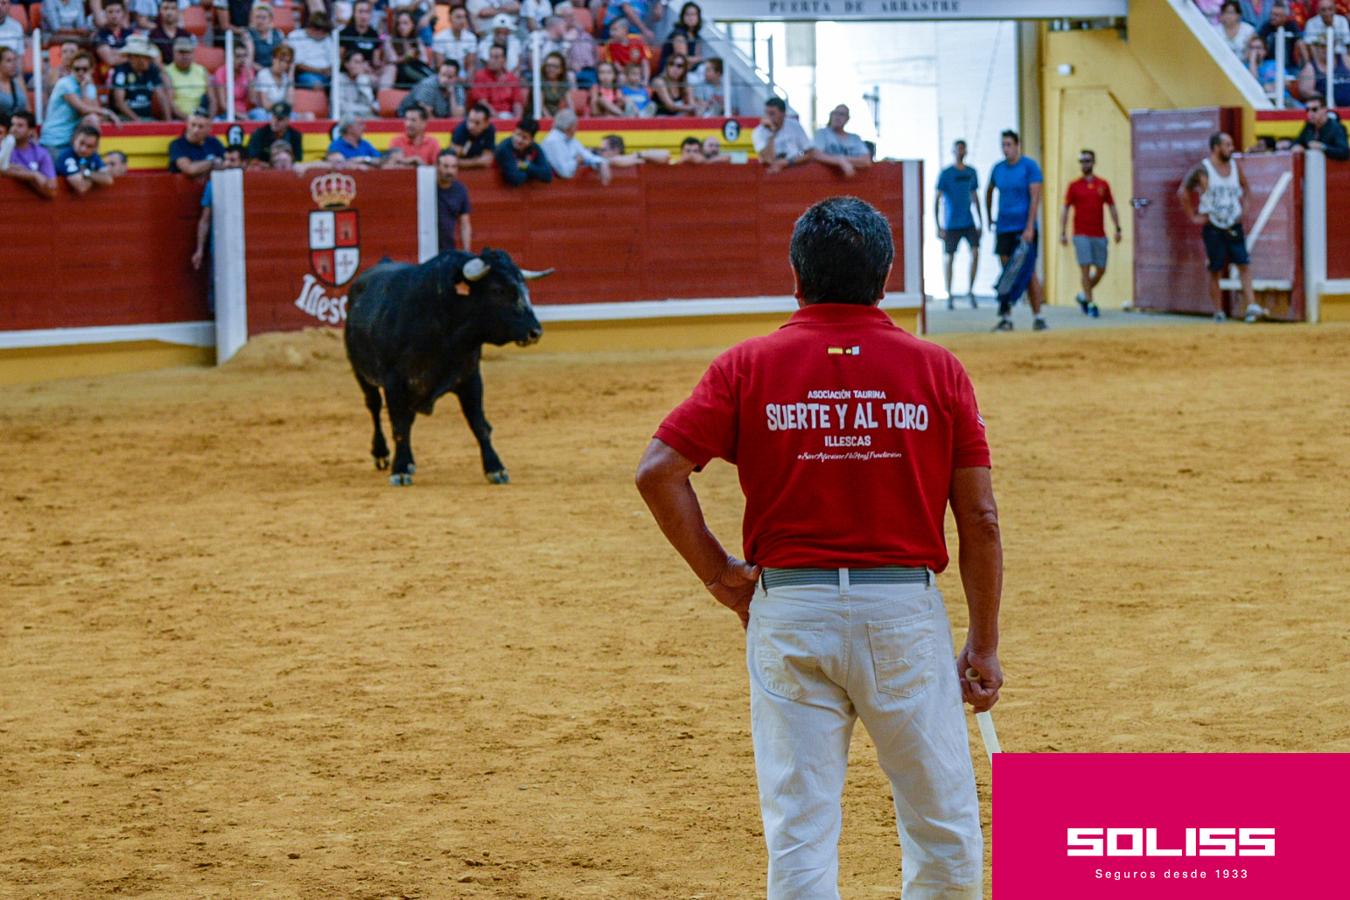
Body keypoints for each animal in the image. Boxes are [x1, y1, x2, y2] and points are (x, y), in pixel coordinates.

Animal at [345, 246, 550, 485]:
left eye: (524, 288)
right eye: (497, 289)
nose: (535, 332)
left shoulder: (470, 378)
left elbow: (479, 424)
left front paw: (495, 468)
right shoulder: (394, 383)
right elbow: (399, 426)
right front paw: (400, 470)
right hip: (361, 373)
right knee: (375, 407)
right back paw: (381, 454)